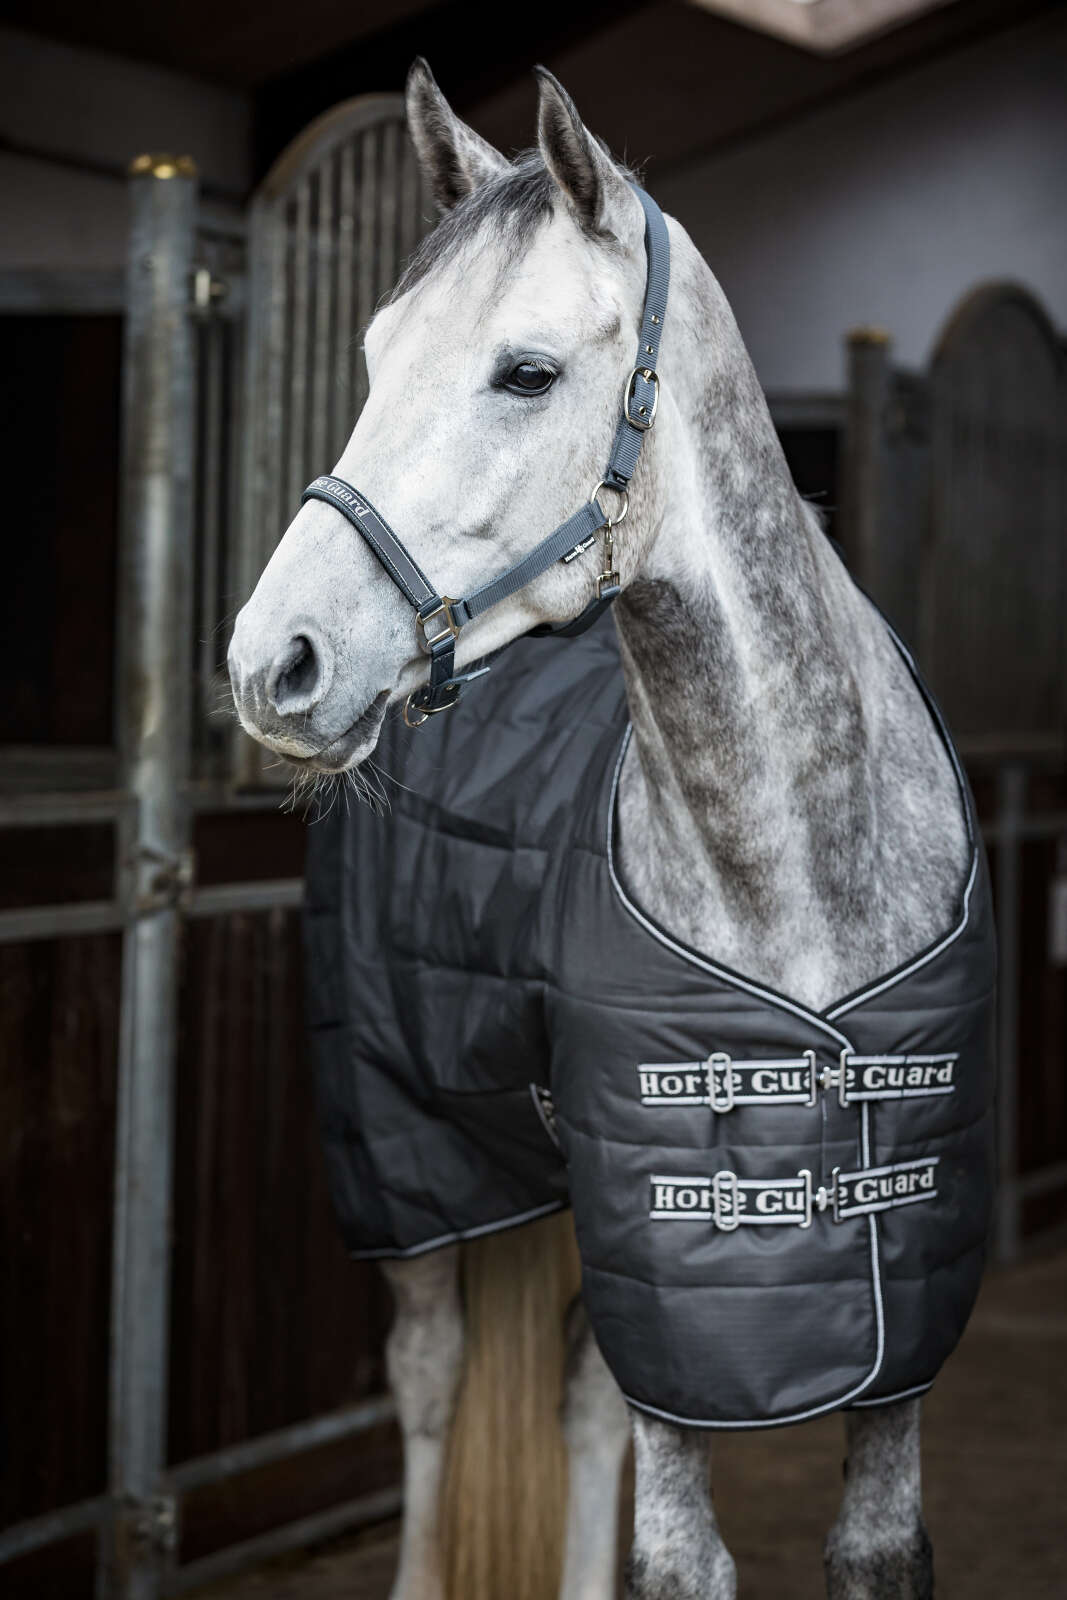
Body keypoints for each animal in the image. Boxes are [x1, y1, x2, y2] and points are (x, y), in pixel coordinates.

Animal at [228, 60, 991, 1600]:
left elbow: (863, 1544)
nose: (271, 662)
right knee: (432, 1380)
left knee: (575, 1398)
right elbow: (675, 1558)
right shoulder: (667, 1289)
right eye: (372, 357)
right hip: (411, 1172)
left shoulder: (895, 1333)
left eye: (524, 373)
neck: (797, 876)